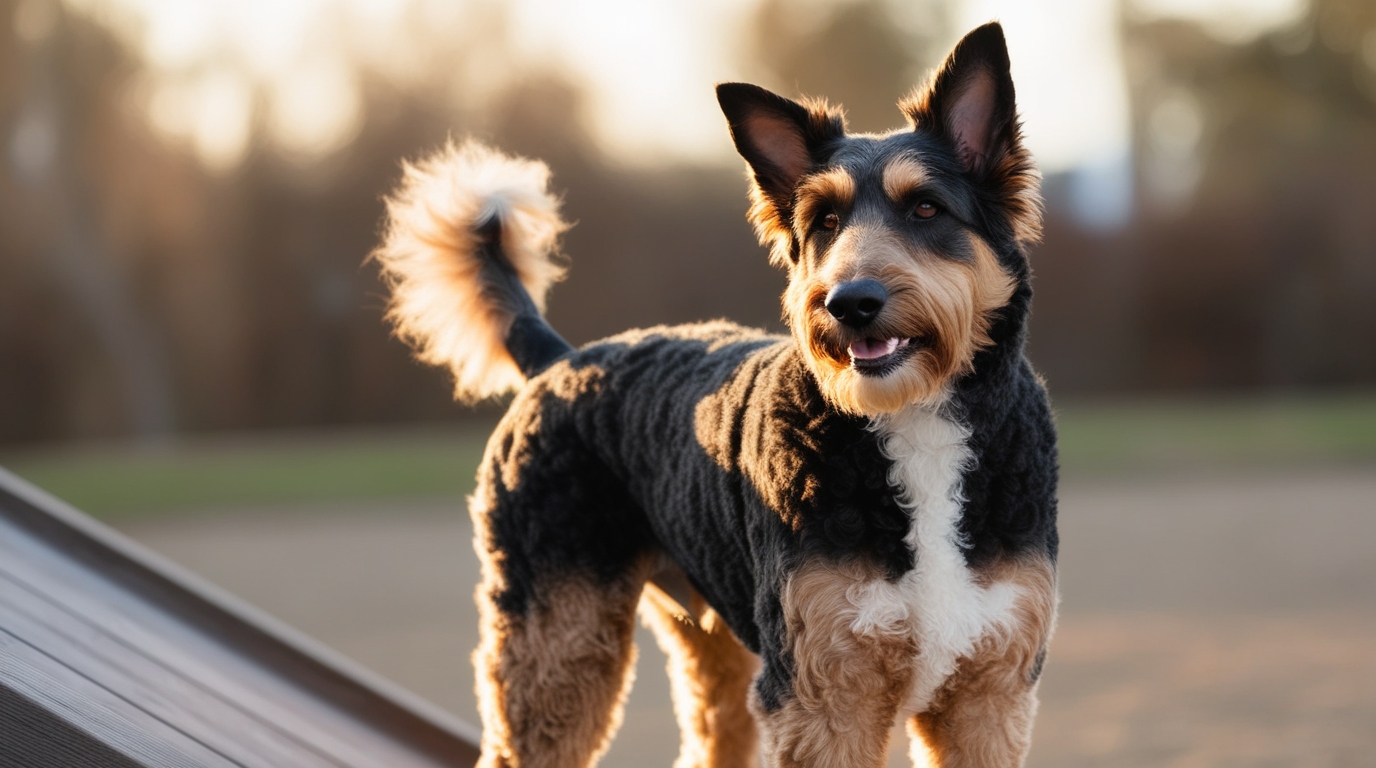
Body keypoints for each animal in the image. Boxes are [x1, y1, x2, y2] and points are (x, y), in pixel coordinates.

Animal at [371, 22, 1056, 768]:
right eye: (823, 221)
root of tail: (558, 359)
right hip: (556, 646)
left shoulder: (989, 694)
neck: (912, 425)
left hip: (706, 640)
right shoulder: (824, 695)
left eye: (927, 207)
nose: (849, 303)